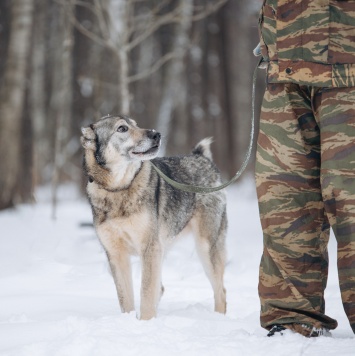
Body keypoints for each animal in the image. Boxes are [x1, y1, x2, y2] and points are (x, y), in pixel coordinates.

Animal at [81, 114, 228, 320]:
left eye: (136, 124)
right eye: (122, 128)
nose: (156, 134)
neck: (119, 189)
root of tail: (200, 157)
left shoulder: (149, 248)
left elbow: (146, 293)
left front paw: (145, 322)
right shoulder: (116, 254)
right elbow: (125, 298)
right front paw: (129, 320)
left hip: (205, 247)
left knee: (220, 291)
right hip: (164, 249)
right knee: (161, 288)